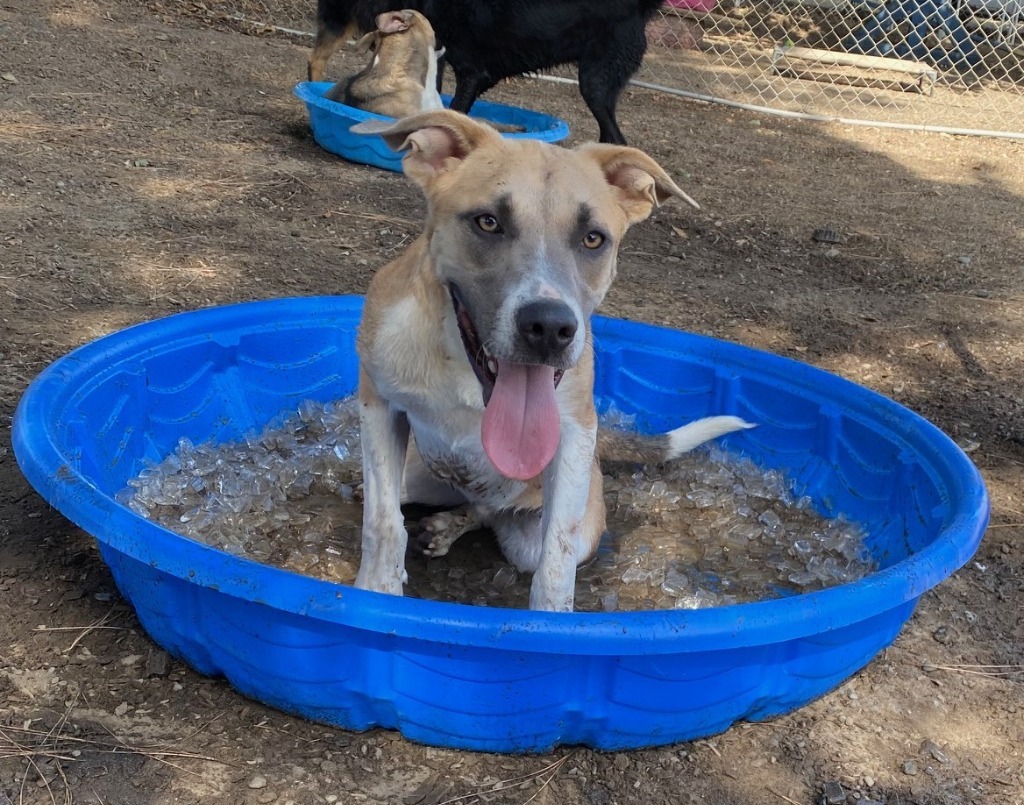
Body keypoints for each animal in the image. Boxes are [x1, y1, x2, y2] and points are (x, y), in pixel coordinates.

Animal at [348, 108, 749, 610]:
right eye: (488, 222)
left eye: (593, 238)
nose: (550, 328)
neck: (463, 373)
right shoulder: (378, 405)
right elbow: (382, 524)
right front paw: (375, 592)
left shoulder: (574, 436)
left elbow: (556, 566)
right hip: (417, 468)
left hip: (549, 523)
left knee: (494, 515)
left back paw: (450, 525)